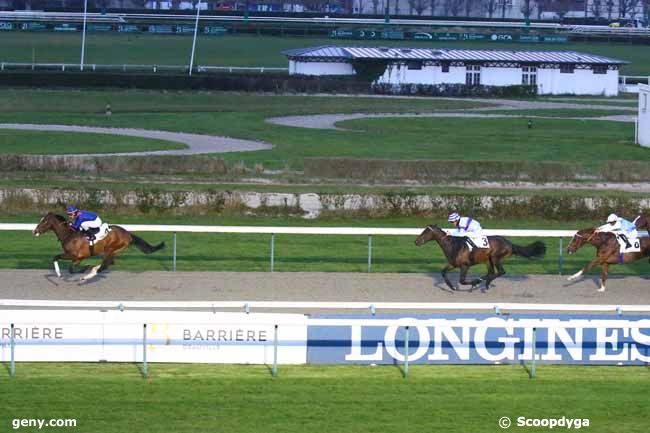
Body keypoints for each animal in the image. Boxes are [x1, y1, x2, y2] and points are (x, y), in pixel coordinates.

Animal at [32, 213, 165, 280]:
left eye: (44, 221)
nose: (34, 231)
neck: (69, 235)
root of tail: (127, 234)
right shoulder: (79, 257)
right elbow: (71, 269)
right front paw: (83, 269)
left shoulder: (74, 255)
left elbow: (56, 257)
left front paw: (60, 273)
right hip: (112, 251)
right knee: (108, 263)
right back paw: (92, 270)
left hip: (111, 248)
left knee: (105, 265)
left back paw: (89, 275)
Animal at [412, 224, 544, 292]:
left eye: (426, 232)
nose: (416, 241)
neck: (453, 245)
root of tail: (509, 243)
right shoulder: (453, 264)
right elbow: (443, 272)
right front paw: (452, 286)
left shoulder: (465, 265)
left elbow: (462, 280)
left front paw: (471, 284)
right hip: (487, 260)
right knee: (492, 272)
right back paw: (485, 283)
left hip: (495, 257)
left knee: (501, 271)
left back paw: (481, 281)